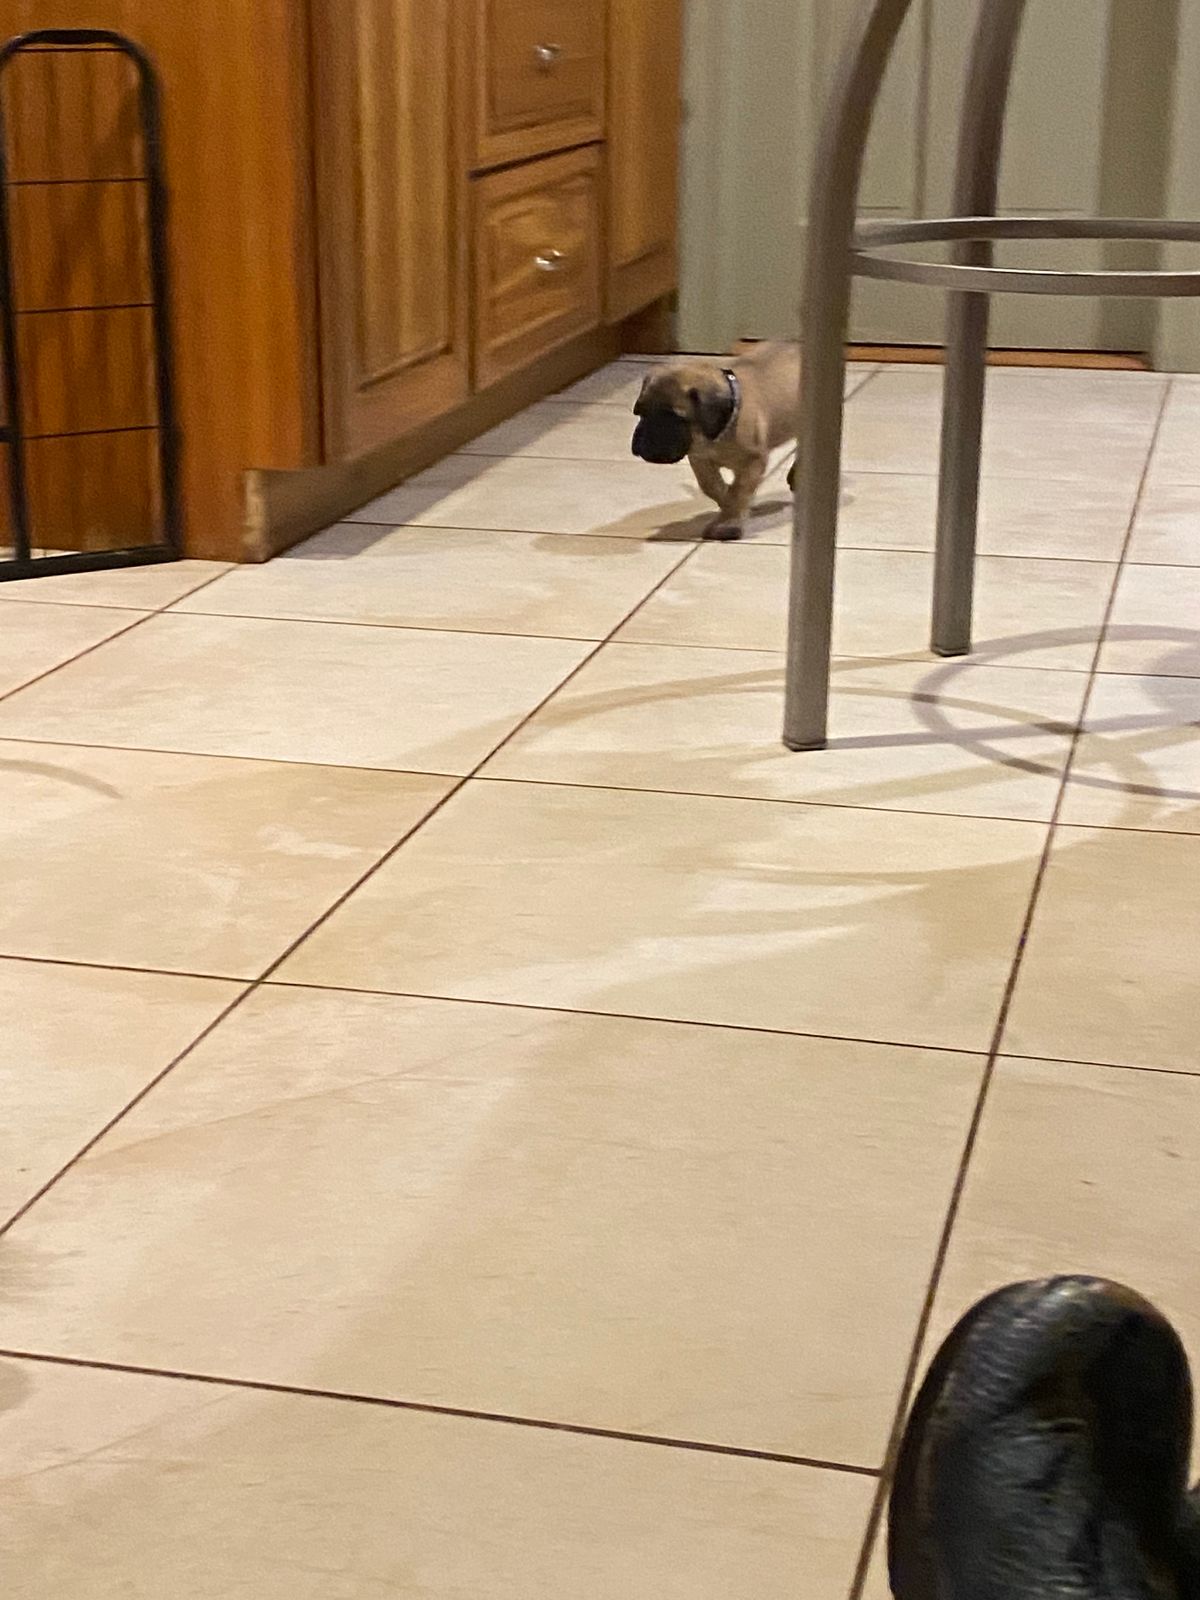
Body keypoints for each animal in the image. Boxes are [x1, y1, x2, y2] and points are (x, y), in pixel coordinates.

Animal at [631, 340, 801, 540]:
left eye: (674, 418)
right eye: (640, 411)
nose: (641, 441)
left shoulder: (754, 460)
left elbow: (739, 490)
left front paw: (729, 522)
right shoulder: (700, 460)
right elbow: (712, 486)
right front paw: (727, 505)